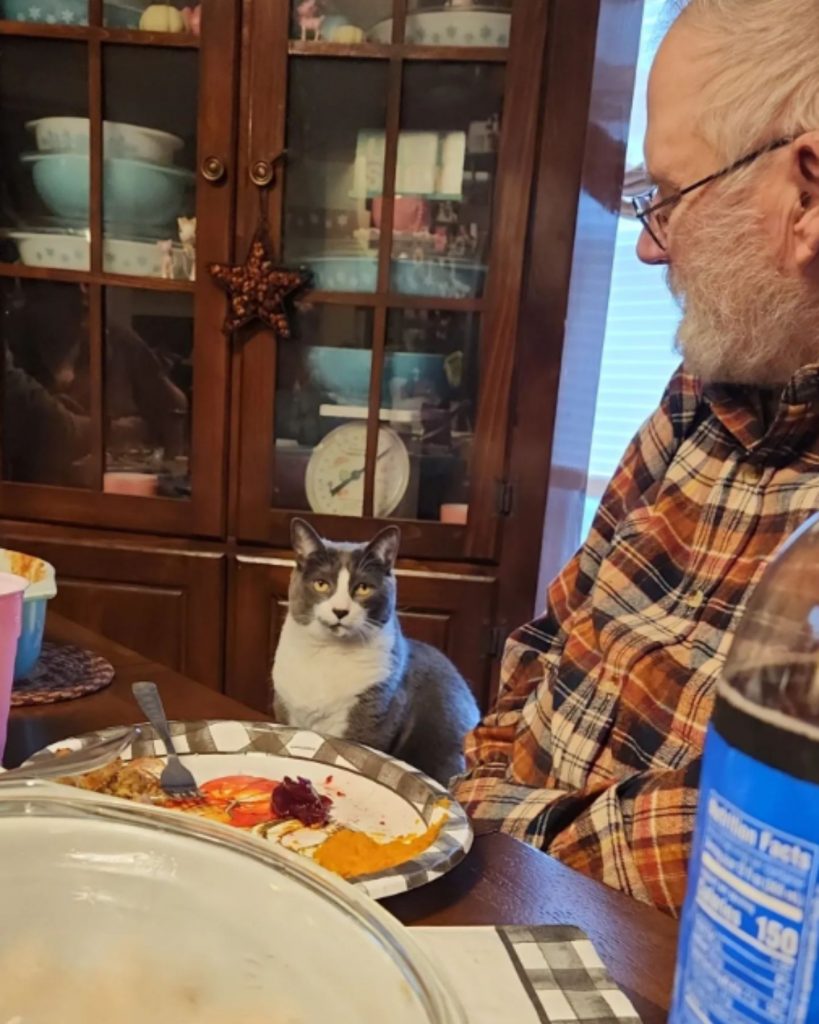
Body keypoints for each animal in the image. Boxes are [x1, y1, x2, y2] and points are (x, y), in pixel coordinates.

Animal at [274, 520, 479, 782]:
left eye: (363, 588)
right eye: (321, 584)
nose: (340, 611)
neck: (329, 654)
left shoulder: (372, 717)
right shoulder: (285, 712)